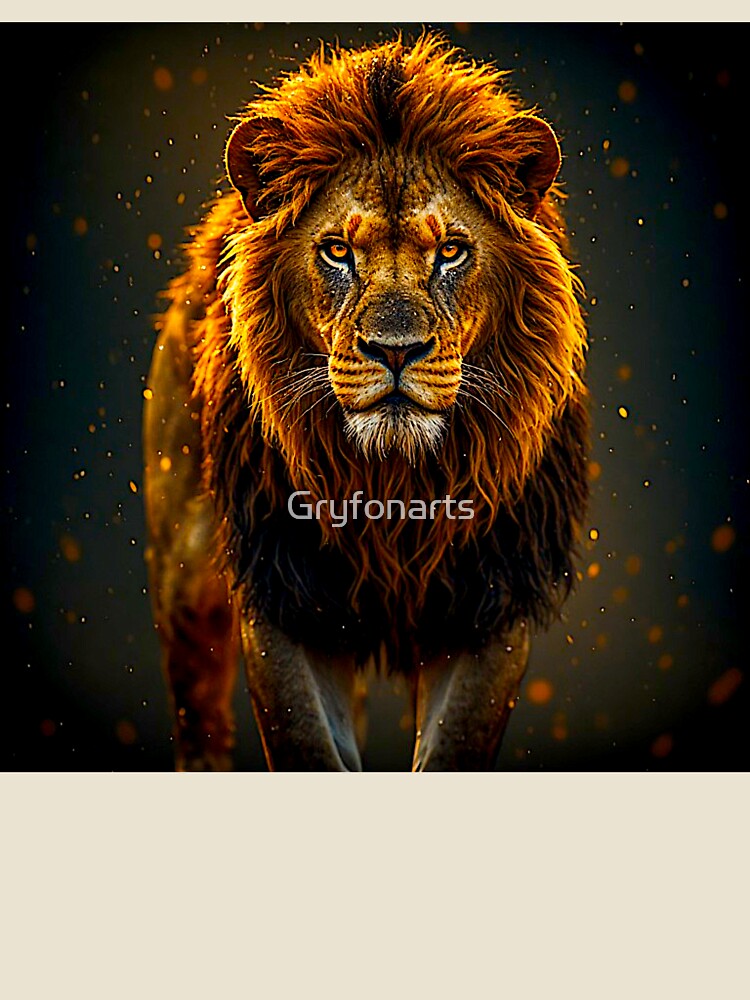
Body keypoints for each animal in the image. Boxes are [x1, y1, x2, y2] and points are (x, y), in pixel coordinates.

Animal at [143, 34, 589, 771]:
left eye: (451, 250)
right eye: (336, 251)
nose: (395, 350)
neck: (393, 483)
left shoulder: (489, 599)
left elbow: (453, 747)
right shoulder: (283, 591)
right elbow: (304, 742)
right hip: (187, 579)